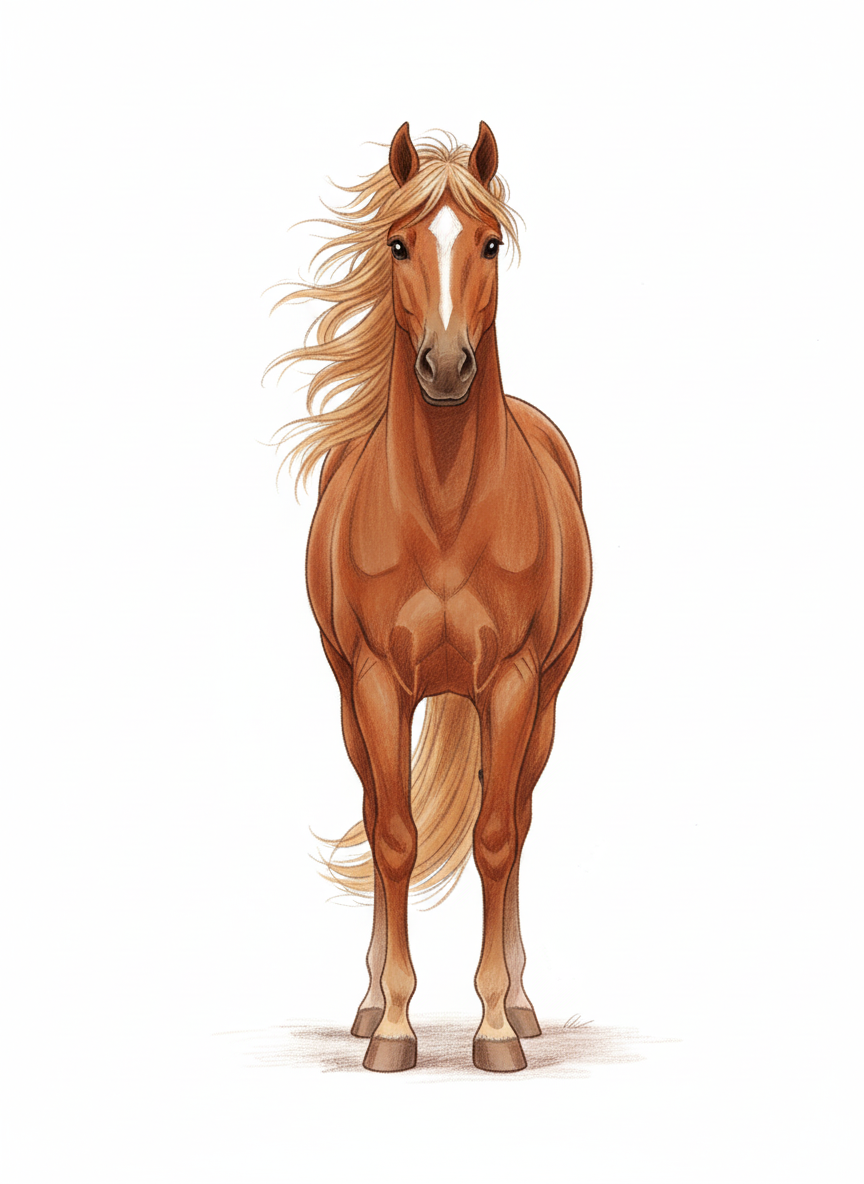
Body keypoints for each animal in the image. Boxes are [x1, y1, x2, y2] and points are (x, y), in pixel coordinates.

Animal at [268, 122, 592, 1072]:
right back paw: (371, 1003)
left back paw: (520, 1002)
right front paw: (395, 1026)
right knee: (378, 814)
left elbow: (493, 838)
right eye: (398, 243)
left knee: (516, 818)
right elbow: (396, 836)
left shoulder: (515, 681)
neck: (446, 506)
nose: (446, 367)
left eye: (487, 243)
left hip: (545, 696)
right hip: (350, 696)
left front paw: (494, 1028)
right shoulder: (377, 681)